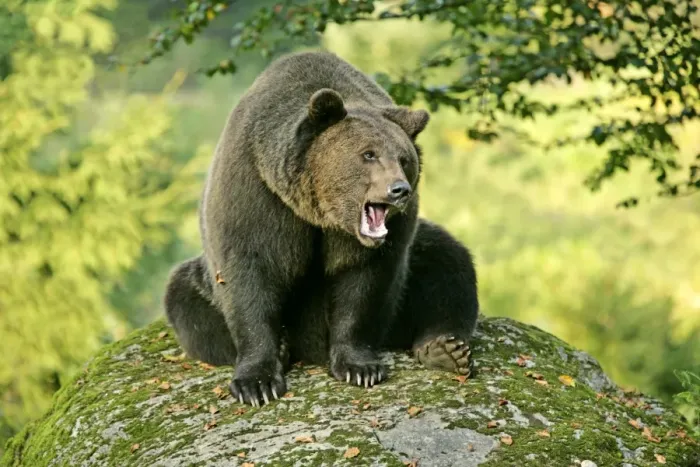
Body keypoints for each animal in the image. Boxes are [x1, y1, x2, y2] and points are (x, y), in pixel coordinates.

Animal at [163, 50, 479, 407]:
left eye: (404, 158)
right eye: (368, 154)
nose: (399, 190)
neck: (318, 212)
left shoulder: (380, 239)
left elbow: (361, 285)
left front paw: (360, 367)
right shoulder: (258, 196)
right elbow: (249, 277)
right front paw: (257, 383)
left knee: (447, 262)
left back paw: (445, 349)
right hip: (199, 283)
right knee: (188, 304)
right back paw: (283, 347)